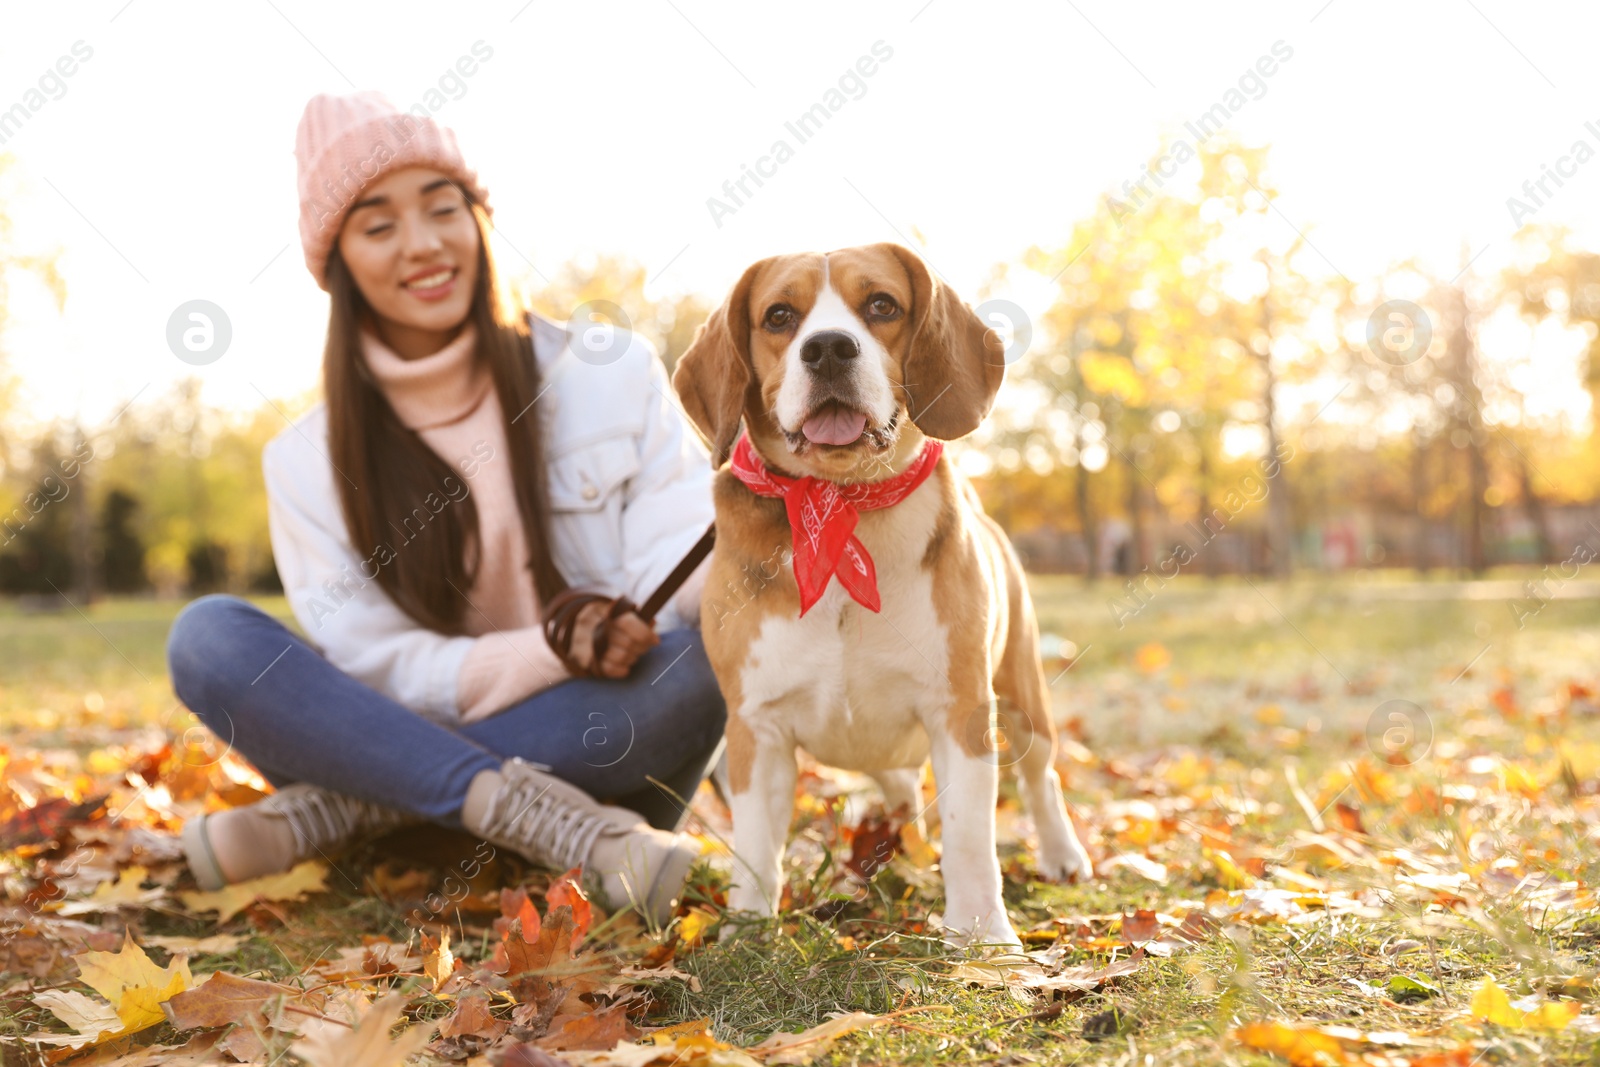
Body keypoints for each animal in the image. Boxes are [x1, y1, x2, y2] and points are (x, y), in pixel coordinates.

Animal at [668, 244, 1094, 953]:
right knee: (902, 788)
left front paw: (985, 938)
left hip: (1023, 700)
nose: (829, 348)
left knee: (1042, 777)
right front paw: (747, 933)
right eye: (779, 315)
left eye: (881, 305)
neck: (840, 508)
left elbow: (971, 839)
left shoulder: (962, 712)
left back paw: (1062, 854)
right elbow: (755, 848)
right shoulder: (756, 728)